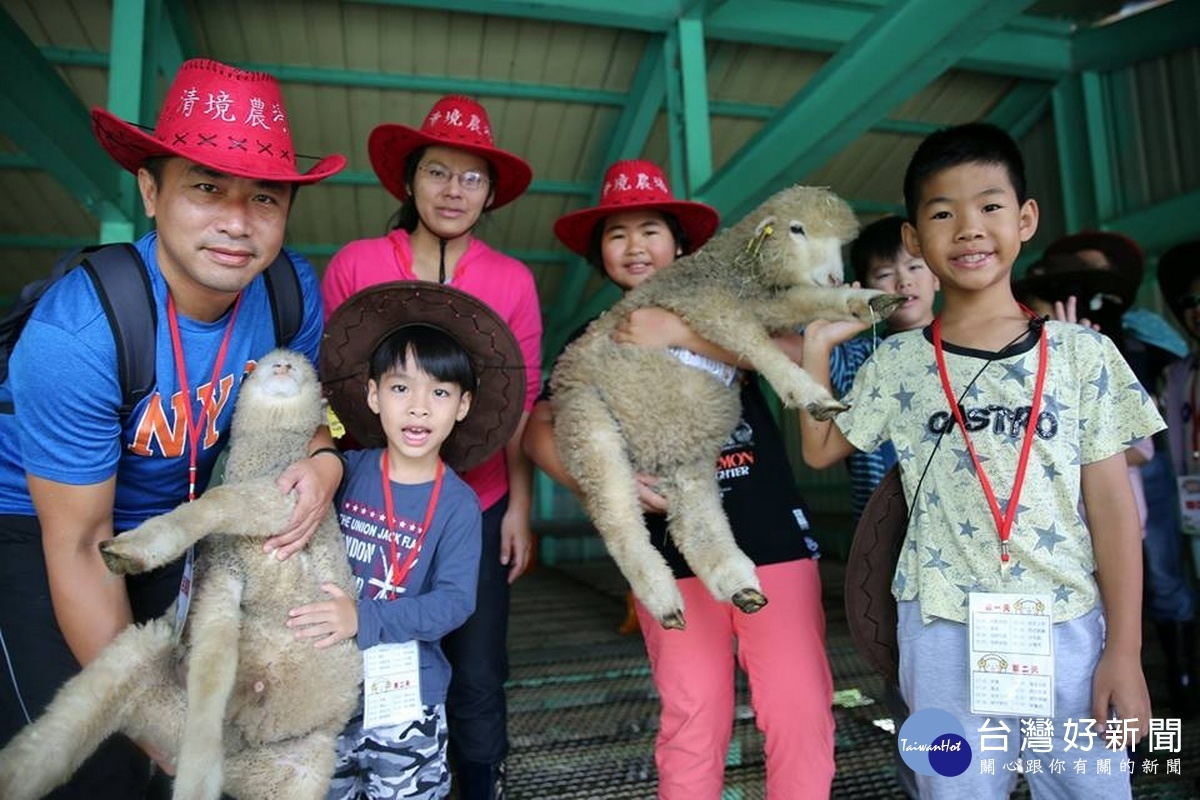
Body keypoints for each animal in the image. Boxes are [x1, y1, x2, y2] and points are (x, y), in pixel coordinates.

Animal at [1, 347, 364, 800]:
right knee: (74, 716)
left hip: (304, 770)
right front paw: (137, 548)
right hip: (149, 663)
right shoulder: (226, 572)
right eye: (264, 365)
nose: (282, 367)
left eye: (301, 368)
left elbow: (217, 501)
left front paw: (138, 546)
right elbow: (212, 669)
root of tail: (245, 752)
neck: (267, 452)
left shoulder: (281, 506)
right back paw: (16, 771)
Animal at [549, 184, 902, 628]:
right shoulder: (710, 305)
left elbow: (805, 300)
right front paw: (807, 392)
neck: (736, 269)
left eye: (841, 242)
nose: (835, 275)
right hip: (588, 426)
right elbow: (754, 342)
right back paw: (662, 597)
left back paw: (738, 584)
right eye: (797, 229)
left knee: (695, 526)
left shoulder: (765, 303)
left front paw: (866, 300)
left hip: (686, 455)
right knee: (619, 520)